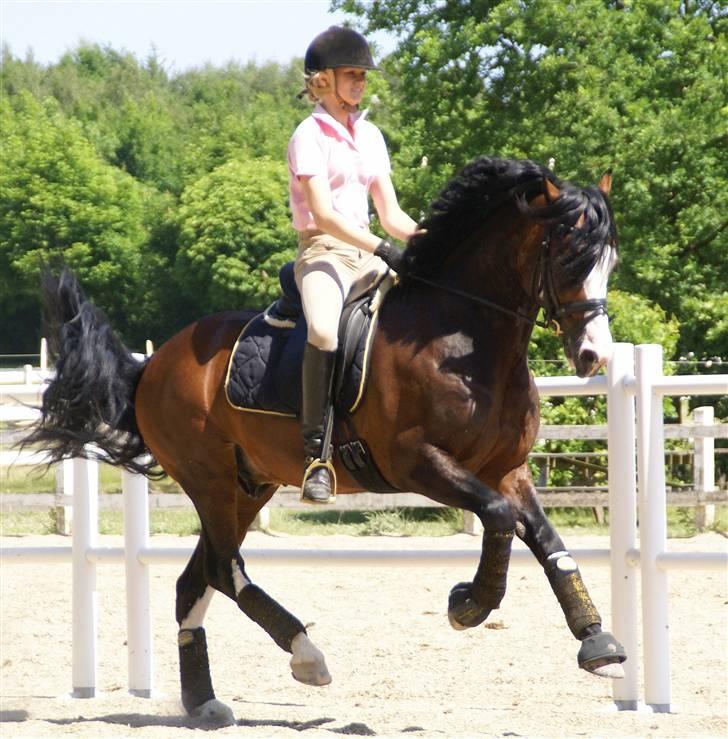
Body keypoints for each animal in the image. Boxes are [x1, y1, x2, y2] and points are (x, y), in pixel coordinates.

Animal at [25, 158, 624, 724]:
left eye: (610, 262)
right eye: (571, 258)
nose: (594, 355)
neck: (464, 341)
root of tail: (151, 365)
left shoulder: (507, 468)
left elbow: (545, 539)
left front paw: (597, 641)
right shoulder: (418, 462)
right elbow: (499, 517)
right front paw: (469, 604)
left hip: (249, 486)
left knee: (195, 579)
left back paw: (203, 702)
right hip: (209, 479)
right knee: (223, 570)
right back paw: (306, 655)